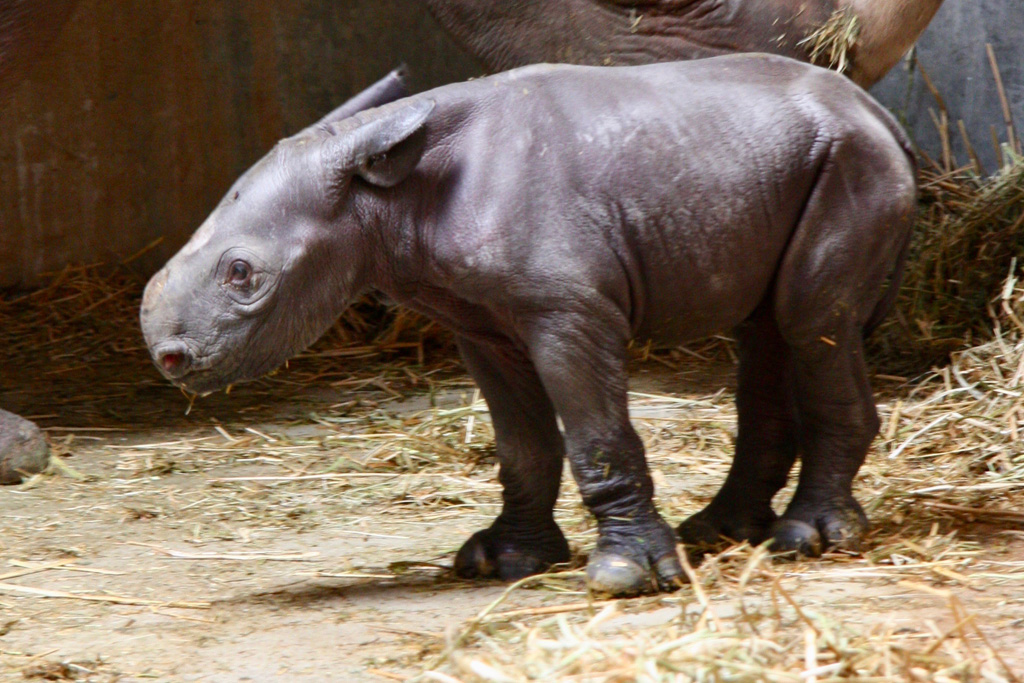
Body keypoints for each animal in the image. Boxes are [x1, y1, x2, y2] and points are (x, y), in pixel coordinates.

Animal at [140, 56, 917, 593]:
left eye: (243, 274)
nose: (168, 358)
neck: (386, 196)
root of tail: (880, 114)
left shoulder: (567, 310)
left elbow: (597, 438)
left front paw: (624, 577)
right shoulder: (482, 323)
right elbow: (521, 445)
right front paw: (505, 559)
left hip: (853, 163)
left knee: (812, 320)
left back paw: (806, 538)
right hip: (771, 161)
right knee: (768, 328)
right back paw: (721, 533)